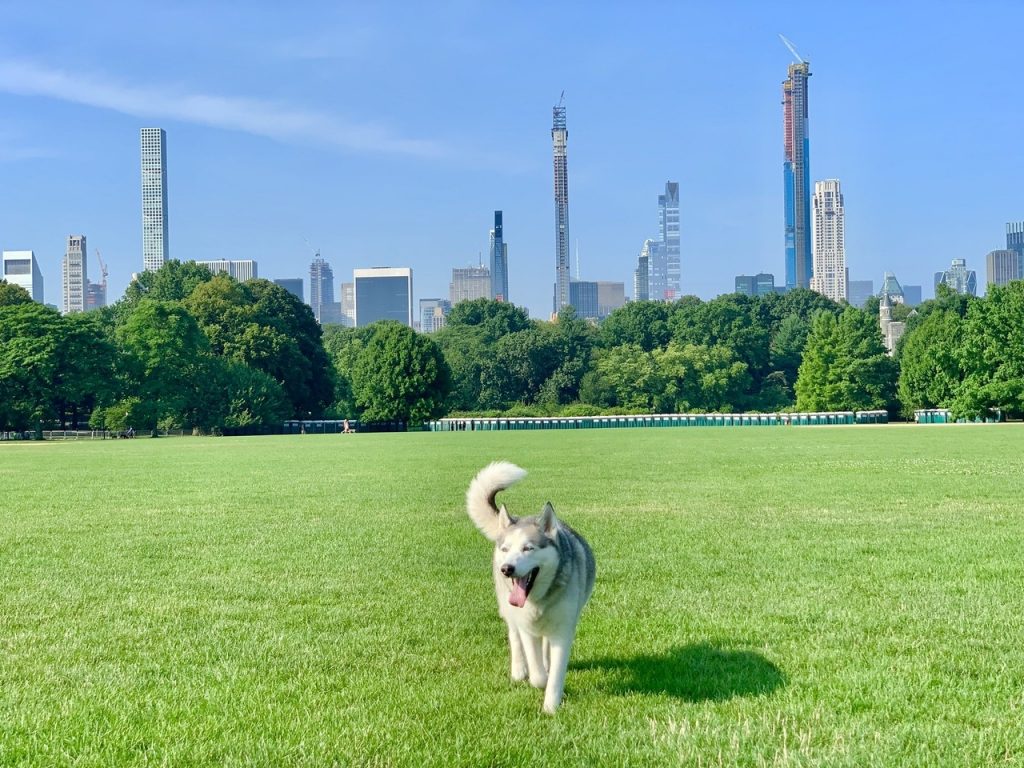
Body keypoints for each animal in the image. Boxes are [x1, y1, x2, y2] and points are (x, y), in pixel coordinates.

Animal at [464, 462, 593, 716]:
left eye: (528, 548)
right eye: (506, 549)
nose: (507, 569)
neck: (538, 600)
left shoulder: (563, 630)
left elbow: (555, 672)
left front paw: (551, 707)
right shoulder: (526, 627)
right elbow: (538, 674)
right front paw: (538, 680)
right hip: (508, 610)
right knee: (514, 637)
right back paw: (519, 670)